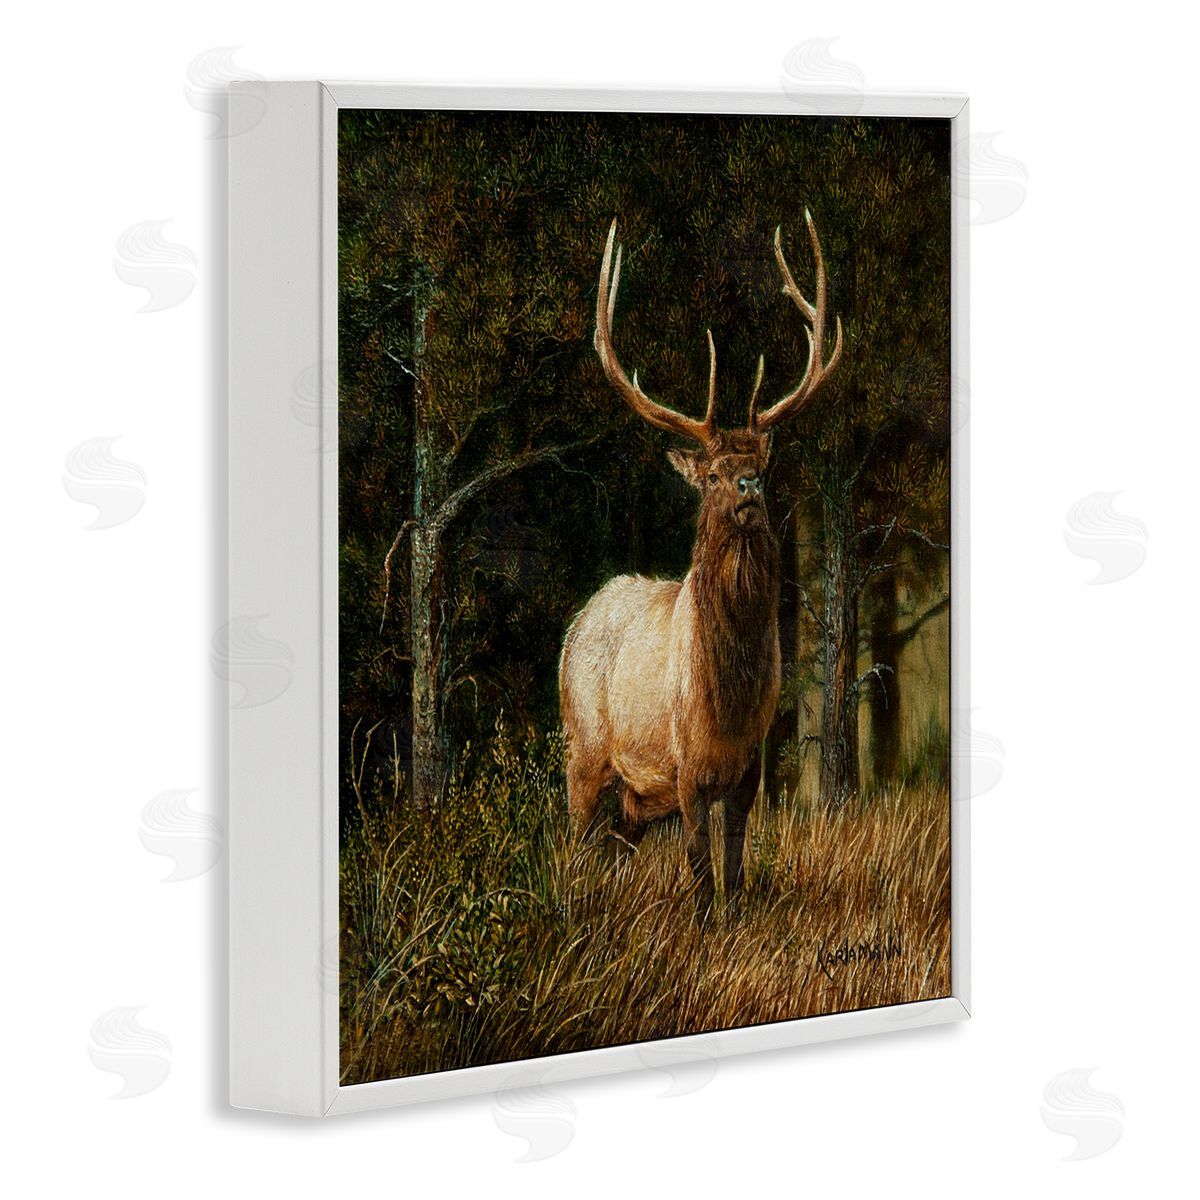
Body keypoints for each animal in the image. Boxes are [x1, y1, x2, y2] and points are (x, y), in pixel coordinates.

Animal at [558, 210, 843, 925]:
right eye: (712, 473)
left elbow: (734, 869)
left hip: (634, 798)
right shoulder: (684, 765)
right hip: (583, 750)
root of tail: (578, 620)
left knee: (616, 849)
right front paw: (700, 928)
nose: (747, 486)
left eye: (762, 464)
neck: (727, 697)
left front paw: (733, 925)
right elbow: (696, 868)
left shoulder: (750, 767)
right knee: (574, 842)